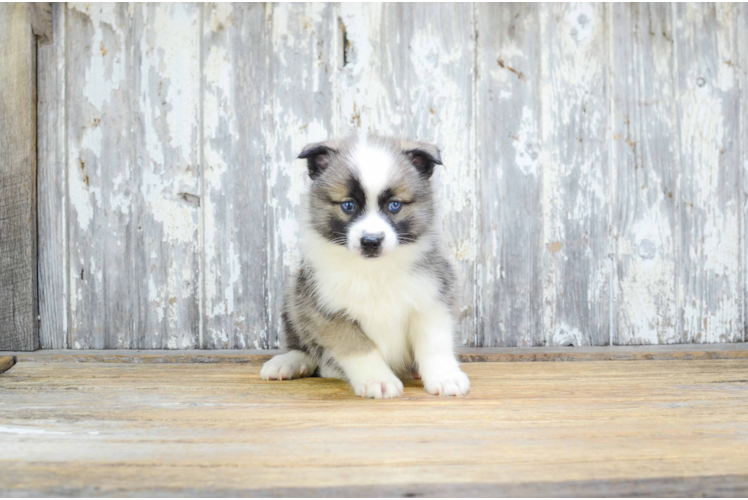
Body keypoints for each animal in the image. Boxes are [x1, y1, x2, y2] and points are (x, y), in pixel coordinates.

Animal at [258, 134, 468, 398]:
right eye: (348, 206)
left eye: (394, 205)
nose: (371, 241)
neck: (374, 270)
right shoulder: (328, 312)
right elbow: (359, 349)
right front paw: (378, 380)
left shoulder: (432, 299)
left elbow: (434, 344)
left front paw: (445, 377)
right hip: (293, 301)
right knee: (304, 346)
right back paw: (288, 362)